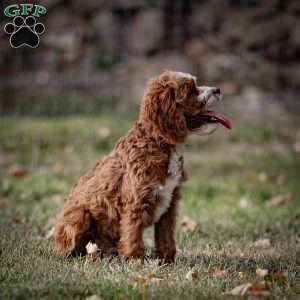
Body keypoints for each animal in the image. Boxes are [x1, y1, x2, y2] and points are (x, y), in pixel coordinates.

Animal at [54, 69, 232, 262]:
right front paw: (134, 259)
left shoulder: (170, 203)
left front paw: (167, 259)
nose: (218, 89)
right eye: (191, 90)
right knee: (72, 249)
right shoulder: (136, 201)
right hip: (80, 216)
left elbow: (165, 234)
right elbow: (133, 232)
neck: (160, 142)